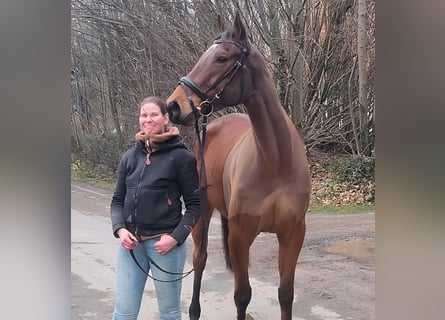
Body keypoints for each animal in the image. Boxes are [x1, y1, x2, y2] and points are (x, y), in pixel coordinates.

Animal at [166, 12, 308, 320]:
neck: (275, 162)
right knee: (200, 259)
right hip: (202, 213)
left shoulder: (293, 234)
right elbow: (242, 295)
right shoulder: (241, 234)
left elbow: (285, 293)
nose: (173, 106)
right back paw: (194, 311)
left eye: (221, 58)